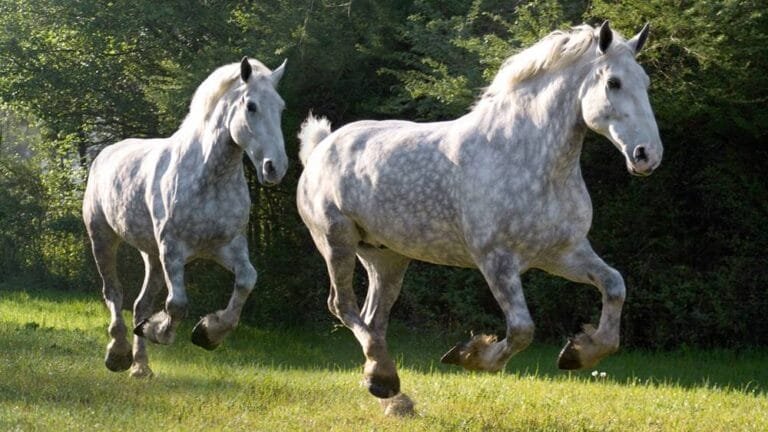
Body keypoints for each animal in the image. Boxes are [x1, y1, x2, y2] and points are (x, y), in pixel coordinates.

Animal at [83, 57, 288, 378]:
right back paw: (118, 355)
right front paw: (159, 331)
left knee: (140, 304)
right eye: (251, 106)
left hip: (152, 255)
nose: (274, 167)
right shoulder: (173, 249)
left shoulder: (228, 247)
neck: (208, 177)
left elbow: (246, 281)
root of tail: (104, 153)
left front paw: (207, 333)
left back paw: (141, 367)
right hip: (103, 238)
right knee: (114, 293)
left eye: (280, 107)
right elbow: (177, 304)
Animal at [296, 22, 661, 415]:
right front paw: (470, 355)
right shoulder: (496, 259)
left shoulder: (562, 253)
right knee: (342, 305)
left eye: (645, 81)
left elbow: (614, 286)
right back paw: (384, 379)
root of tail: (320, 147)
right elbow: (521, 329)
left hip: (386, 256)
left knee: (373, 317)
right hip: (337, 242)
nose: (647, 155)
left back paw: (385, 384)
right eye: (613, 82)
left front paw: (578, 353)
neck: (527, 156)